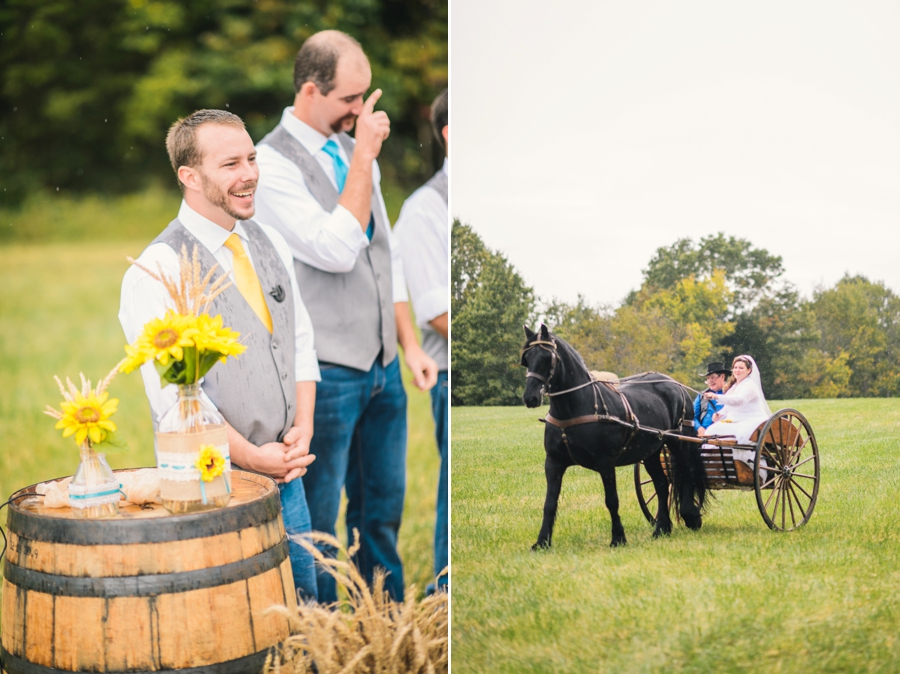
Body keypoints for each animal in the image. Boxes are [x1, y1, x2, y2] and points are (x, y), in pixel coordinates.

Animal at [520, 322, 712, 548]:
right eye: (527, 358)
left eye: (546, 357)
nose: (530, 397)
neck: (576, 407)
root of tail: (675, 384)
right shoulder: (553, 462)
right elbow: (550, 503)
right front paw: (542, 542)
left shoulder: (605, 462)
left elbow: (611, 500)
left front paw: (618, 537)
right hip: (650, 452)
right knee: (663, 484)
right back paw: (662, 528)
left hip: (678, 443)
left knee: (686, 473)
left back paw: (690, 515)